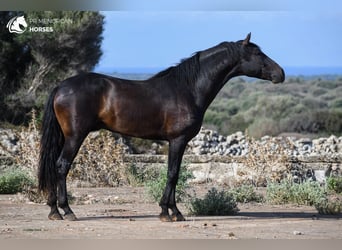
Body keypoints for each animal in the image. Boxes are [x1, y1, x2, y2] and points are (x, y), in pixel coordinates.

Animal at [37, 32, 284, 221]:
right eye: (258, 54)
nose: (280, 73)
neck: (187, 89)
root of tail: (61, 86)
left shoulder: (178, 142)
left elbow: (173, 173)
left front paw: (170, 211)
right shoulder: (178, 140)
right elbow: (173, 173)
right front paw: (170, 212)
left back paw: (54, 211)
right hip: (75, 136)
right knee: (61, 166)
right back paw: (65, 211)